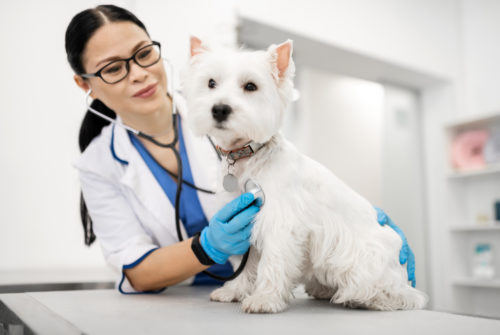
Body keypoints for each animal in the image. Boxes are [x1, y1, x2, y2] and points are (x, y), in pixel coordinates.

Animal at [182, 37, 428, 316]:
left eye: (250, 86)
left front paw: (264, 299)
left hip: (368, 260)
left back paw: (364, 298)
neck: (247, 157)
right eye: (211, 83)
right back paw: (323, 289)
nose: (220, 109)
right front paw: (234, 291)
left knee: (403, 295)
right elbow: (245, 264)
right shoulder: (240, 221)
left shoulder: (279, 222)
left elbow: (272, 261)